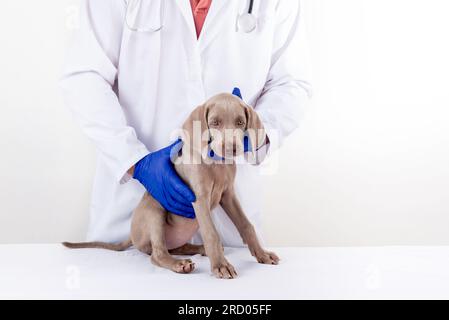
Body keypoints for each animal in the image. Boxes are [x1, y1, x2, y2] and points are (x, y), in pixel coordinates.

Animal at [63, 94, 278, 278]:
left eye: (240, 122)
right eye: (215, 122)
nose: (231, 148)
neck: (216, 164)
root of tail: (132, 236)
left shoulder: (228, 196)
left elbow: (246, 225)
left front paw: (262, 254)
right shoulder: (199, 198)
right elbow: (211, 233)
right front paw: (221, 265)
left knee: (175, 247)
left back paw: (198, 250)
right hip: (154, 210)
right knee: (157, 253)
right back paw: (179, 264)